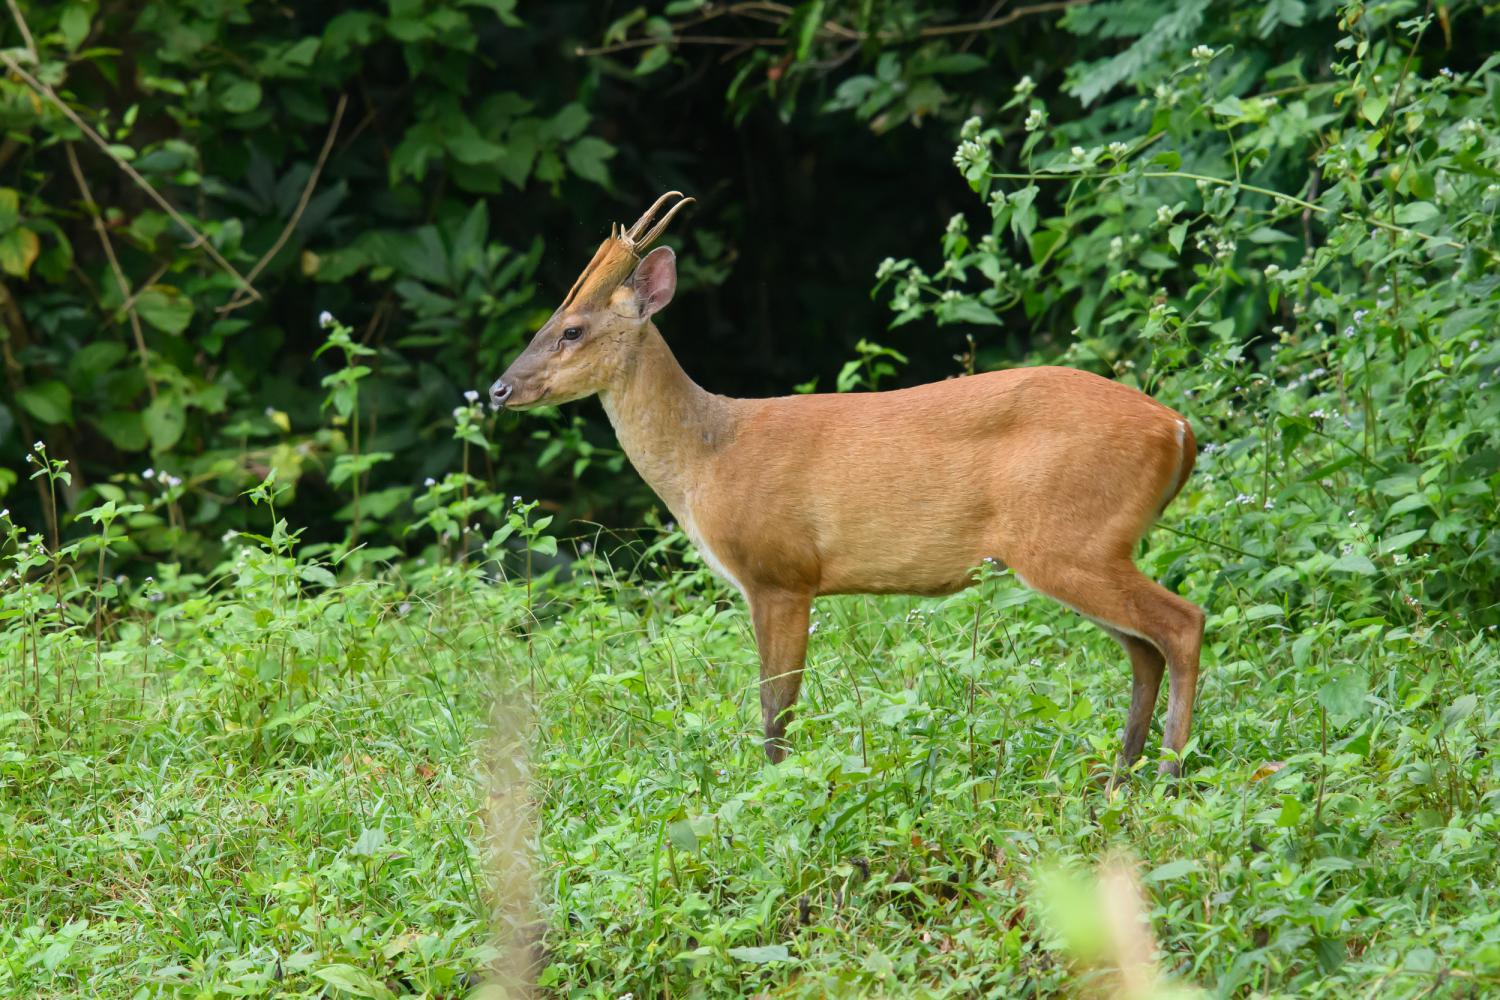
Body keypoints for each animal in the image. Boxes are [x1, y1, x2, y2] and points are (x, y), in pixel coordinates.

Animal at [495, 191, 1206, 779]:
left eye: (572, 330)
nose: (500, 389)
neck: (708, 458)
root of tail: (1177, 429)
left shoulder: (780, 571)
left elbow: (776, 704)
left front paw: (775, 793)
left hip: (1071, 536)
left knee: (1182, 623)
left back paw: (1168, 775)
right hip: (1077, 547)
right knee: (1145, 650)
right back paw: (1121, 776)